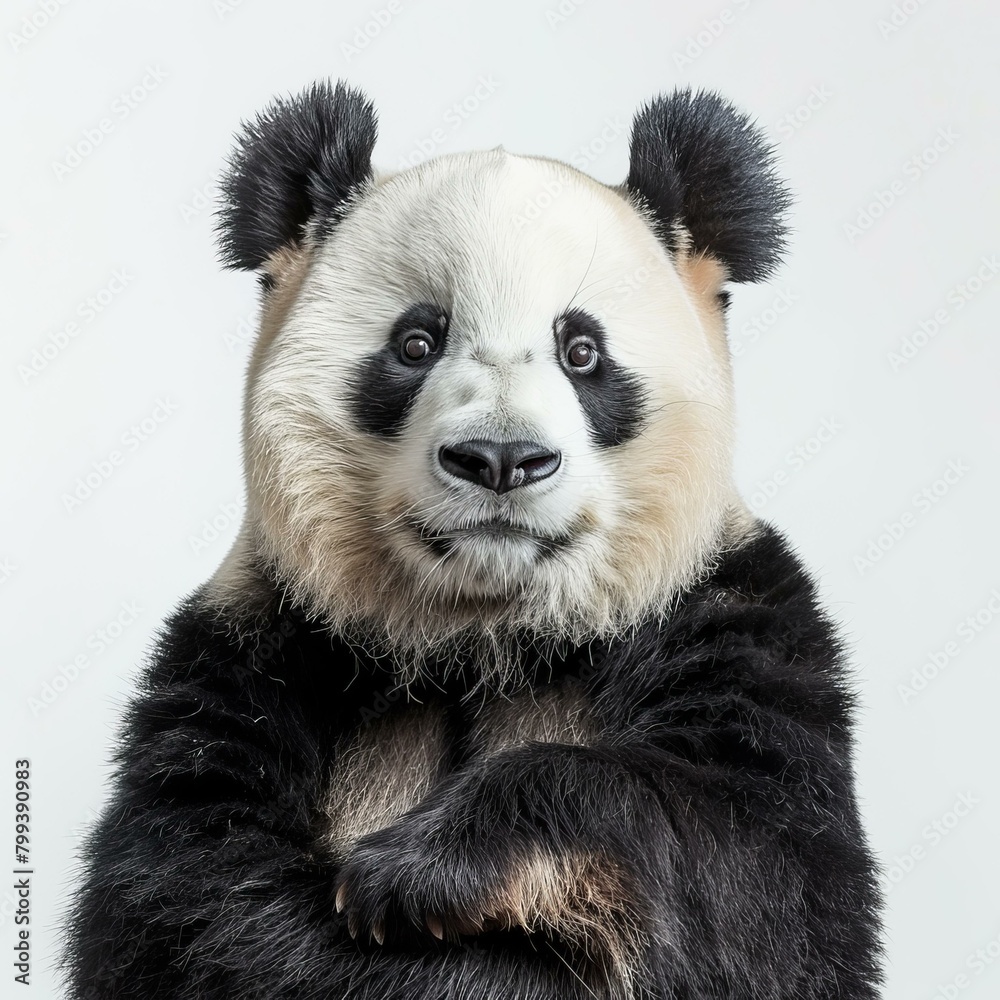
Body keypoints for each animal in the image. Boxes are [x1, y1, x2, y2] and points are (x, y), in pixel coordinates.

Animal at [61, 81, 883, 999]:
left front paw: (418, 873)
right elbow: (196, 900)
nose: (500, 458)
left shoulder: (729, 612)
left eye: (582, 350)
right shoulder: (256, 642)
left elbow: (761, 876)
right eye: (416, 343)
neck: (482, 638)